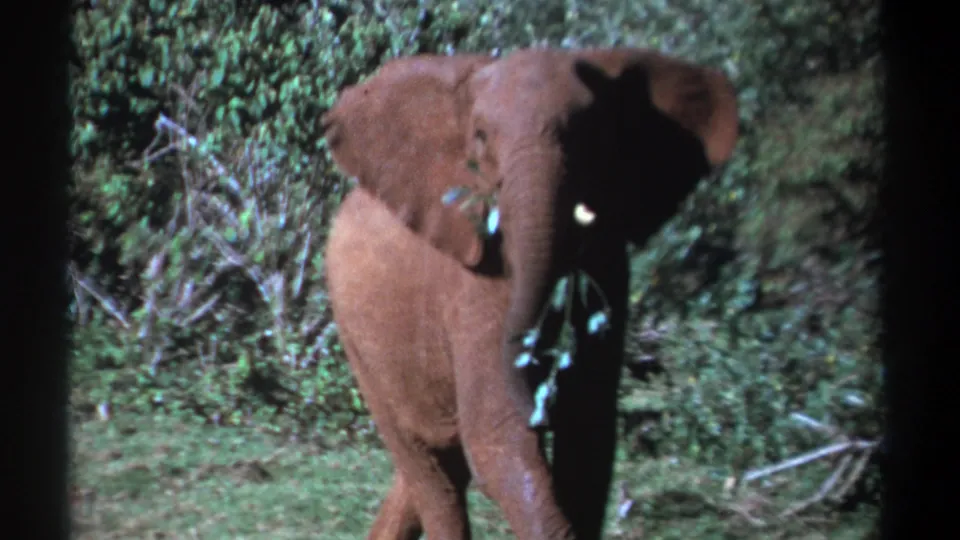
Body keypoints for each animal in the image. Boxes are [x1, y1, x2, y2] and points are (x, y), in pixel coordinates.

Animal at [321, 46, 739, 540]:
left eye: (588, 135)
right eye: (480, 137)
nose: (542, 405)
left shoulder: (609, 262)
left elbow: (588, 430)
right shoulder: (477, 275)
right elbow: (498, 437)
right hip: (355, 336)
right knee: (432, 470)